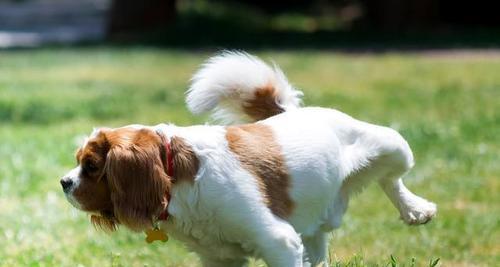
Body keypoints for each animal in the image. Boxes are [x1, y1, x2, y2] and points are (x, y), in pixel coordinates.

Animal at [60, 51, 436, 266]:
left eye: (91, 166)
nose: (64, 182)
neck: (177, 179)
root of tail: (292, 112)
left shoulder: (279, 242)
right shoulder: (219, 259)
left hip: (393, 144)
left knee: (392, 178)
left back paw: (416, 209)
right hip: (314, 227)